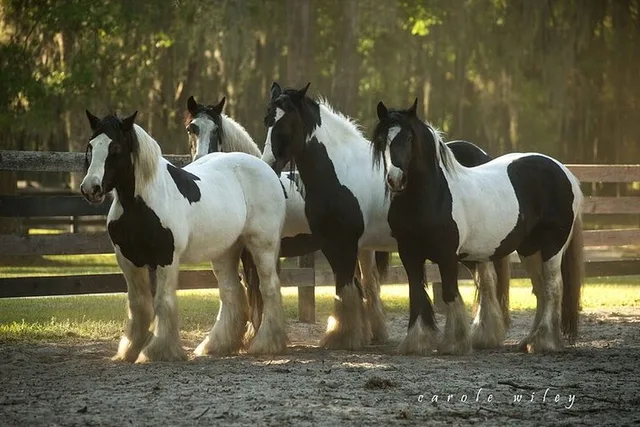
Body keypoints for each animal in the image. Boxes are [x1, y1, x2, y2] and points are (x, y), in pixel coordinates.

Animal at [79, 110, 288, 362]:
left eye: (116, 147)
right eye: (91, 146)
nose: (91, 188)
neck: (140, 204)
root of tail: (265, 169)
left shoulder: (166, 259)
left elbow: (163, 302)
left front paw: (157, 351)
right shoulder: (128, 260)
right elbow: (138, 305)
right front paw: (129, 350)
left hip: (262, 246)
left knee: (269, 288)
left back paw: (267, 344)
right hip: (225, 251)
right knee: (231, 293)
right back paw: (215, 345)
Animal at [184, 95, 391, 342]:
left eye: (217, 130)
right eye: (191, 128)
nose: (202, 160)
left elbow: (258, 290)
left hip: (361, 248)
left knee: (370, 284)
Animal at [261, 82, 511, 354]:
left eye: (287, 122)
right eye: (267, 120)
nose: (268, 164)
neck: (339, 170)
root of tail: (483, 156)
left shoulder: (347, 242)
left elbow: (347, 286)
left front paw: (343, 337)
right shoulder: (330, 243)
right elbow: (348, 287)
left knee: (486, 281)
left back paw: (484, 335)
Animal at [372, 99, 584, 353]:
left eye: (409, 137)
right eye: (382, 140)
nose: (396, 180)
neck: (433, 196)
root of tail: (564, 172)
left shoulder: (447, 256)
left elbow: (449, 294)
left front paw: (454, 343)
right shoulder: (408, 254)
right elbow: (416, 294)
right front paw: (416, 342)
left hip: (552, 247)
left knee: (553, 287)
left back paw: (543, 341)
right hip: (529, 249)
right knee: (540, 289)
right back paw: (528, 340)